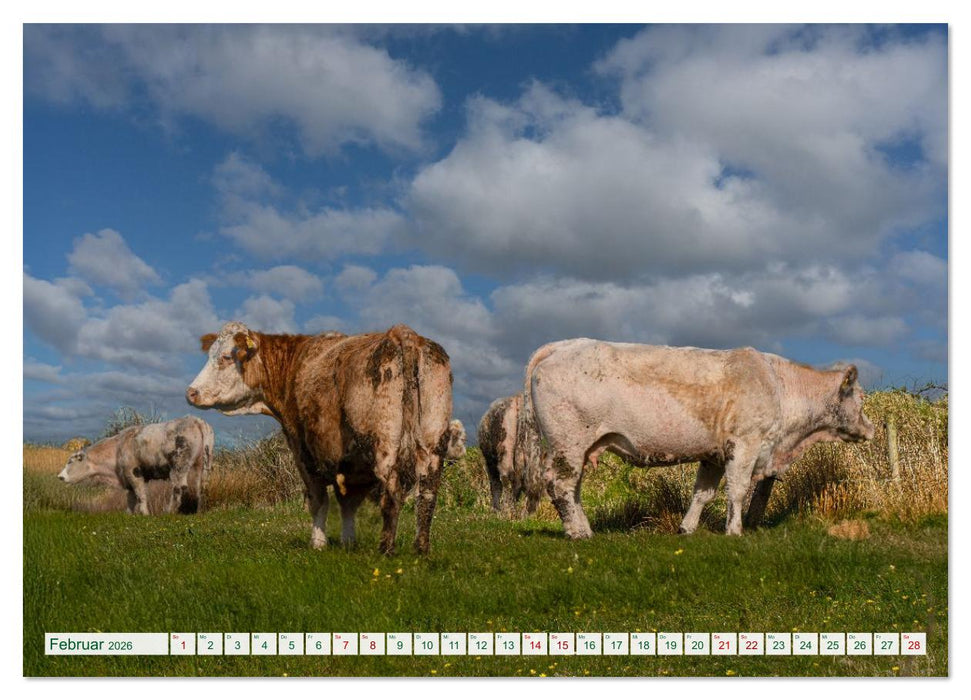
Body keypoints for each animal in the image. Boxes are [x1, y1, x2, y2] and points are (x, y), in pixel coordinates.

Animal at [57, 415, 214, 515]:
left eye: (70, 461)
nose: (60, 476)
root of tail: (195, 420)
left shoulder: (133, 472)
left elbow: (140, 494)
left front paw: (144, 513)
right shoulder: (127, 478)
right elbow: (131, 497)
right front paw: (129, 514)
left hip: (179, 466)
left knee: (178, 488)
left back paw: (168, 511)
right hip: (200, 466)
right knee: (198, 486)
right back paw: (195, 510)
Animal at [185, 321, 457, 555]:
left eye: (226, 357)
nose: (191, 392)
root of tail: (401, 333)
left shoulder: (302, 449)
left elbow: (319, 500)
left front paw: (317, 543)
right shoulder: (350, 463)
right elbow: (348, 502)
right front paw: (348, 542)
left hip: (384, 444)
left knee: (392, 492)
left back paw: (386, 551)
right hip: (432, 441)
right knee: (428, 494)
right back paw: (421, 550)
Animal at [519, 339, 875, 539]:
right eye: (861, 397)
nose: (871, 429)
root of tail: (563, 345)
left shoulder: (714, 454)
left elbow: (703, 493)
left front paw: (686, 529)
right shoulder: (745, 444)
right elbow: (738, 490)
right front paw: (734, 531)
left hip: (578, 447)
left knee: (574, 488)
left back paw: (585, 528)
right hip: (568, 442)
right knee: (561, 486)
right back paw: (577, 532)